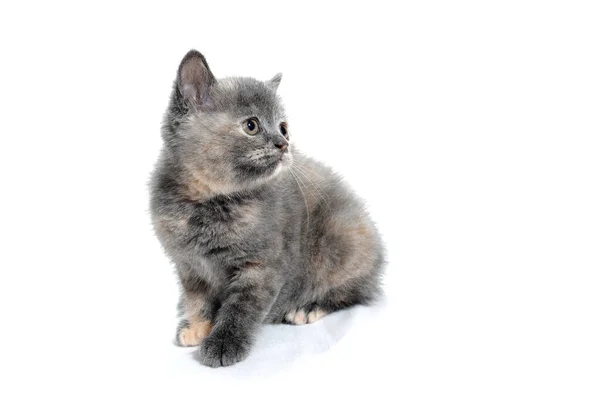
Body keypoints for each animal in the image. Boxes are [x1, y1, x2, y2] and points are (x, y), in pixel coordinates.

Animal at [150, 49, 384, 366]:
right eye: (251, 125)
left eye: (284, 127)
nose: (284, 143)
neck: (207, 201)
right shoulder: (189, 266)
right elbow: (196, 299)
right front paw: (197, 325)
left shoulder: (261, 266)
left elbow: (241, 308)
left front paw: (223, 343)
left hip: (346, 240)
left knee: (353, 291)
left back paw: (308, 307)